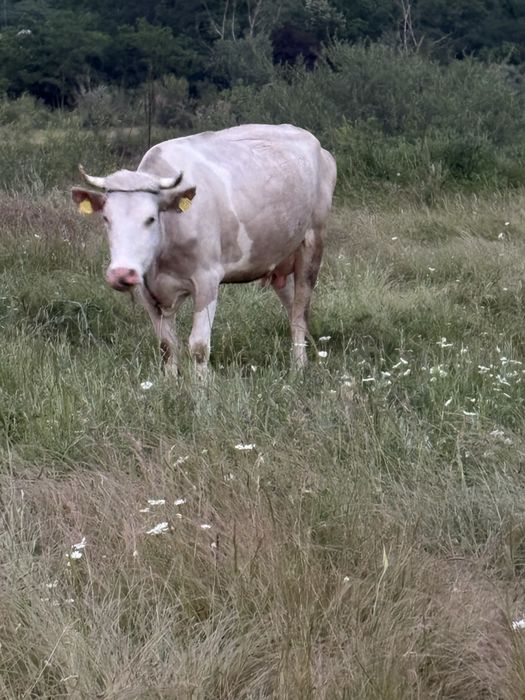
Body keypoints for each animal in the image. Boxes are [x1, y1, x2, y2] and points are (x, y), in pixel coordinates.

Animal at [72, 124, 336, 376]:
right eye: (106, 218)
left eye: (150, 218)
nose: (121, 274)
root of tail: (317, 145)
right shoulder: (147, 289)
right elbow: (167, 345)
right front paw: (170, 383)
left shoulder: (207, 279)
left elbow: (199, 346)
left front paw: (202, 388)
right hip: (279, 258)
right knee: (293, 309)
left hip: (312, 245)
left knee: (300, 313)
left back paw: (299, 368)